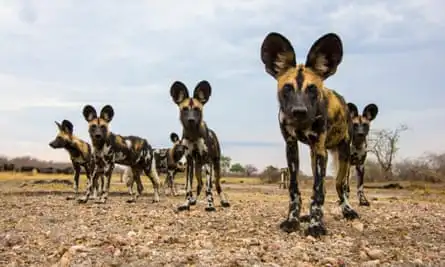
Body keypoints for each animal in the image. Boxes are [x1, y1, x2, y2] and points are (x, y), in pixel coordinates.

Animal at [169, 80, 231, 213]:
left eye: (197, 109)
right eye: (185, 109)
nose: (191, 119)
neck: (193, 134)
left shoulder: (207, 161)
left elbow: (209, 189)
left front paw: (210, 205)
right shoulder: (189, 163)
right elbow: (188, 187)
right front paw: (186, 203)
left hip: (215, 166)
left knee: (216, 185)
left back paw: (224, 201)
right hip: (197, 168)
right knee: (199, 184)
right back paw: (193, 201)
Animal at [260, 31, 358, 239]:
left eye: (312, 89)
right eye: (287, 88)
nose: (299, 111)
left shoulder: (321, 149)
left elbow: (318, 191)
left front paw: (316, 225)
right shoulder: (291, 148)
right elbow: (294, 190)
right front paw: (293, 220)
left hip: (343, 155)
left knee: (340, 186)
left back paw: (348, 210)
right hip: (315, 157)